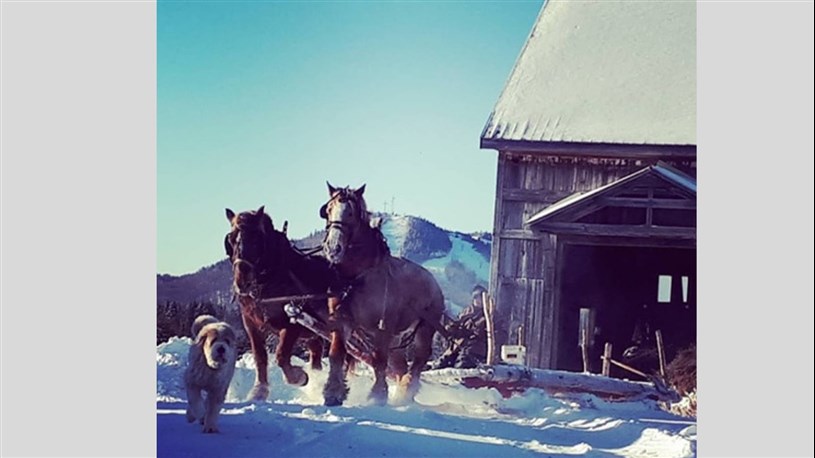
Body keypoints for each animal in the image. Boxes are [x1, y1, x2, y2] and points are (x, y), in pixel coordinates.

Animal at [224, 206, 337, 401]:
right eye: (230, 240)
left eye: (257, 239)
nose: (241, 282)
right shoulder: (250, 323)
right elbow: (260, 356)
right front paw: (259, 390)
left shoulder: (292, 323)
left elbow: (281, 355)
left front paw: (299, 377)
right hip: (313, 332)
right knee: (316, 352)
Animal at [319, 183, 446, 406]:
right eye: (328, 210)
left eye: (351, 213)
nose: (333, 248)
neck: (356, 277)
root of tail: (433, 282)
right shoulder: (341, 321)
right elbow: (336, 356)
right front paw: (333, 394)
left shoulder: (382, 328)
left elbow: (379, 361)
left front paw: (378, 395)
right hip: (397, 339)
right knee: (400, 365)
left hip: (425, 328)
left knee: (418, 360)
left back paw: (406, 392)